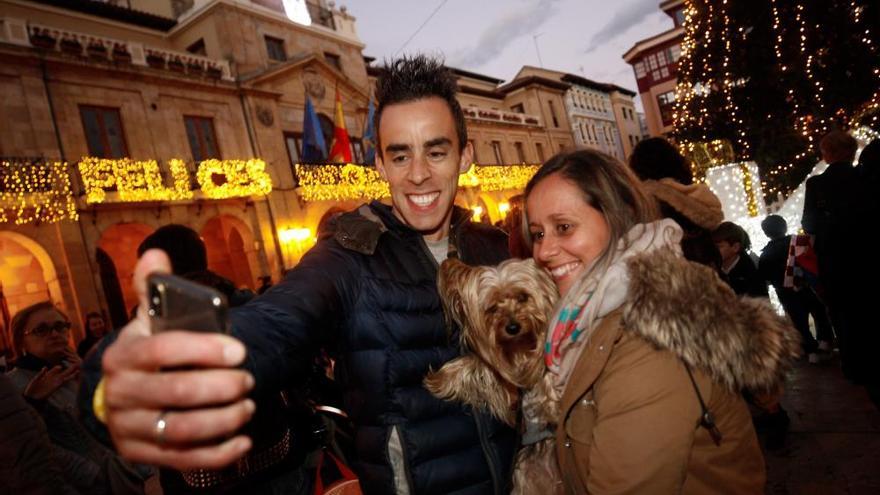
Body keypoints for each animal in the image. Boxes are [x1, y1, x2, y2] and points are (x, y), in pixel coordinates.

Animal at [422, 258, 560, 494]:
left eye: (523, 297)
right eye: (493, 308)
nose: (512, 327)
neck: (520, 347)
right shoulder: (499, 374)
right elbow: (475, 365)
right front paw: (439, 379)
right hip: (525, 475)